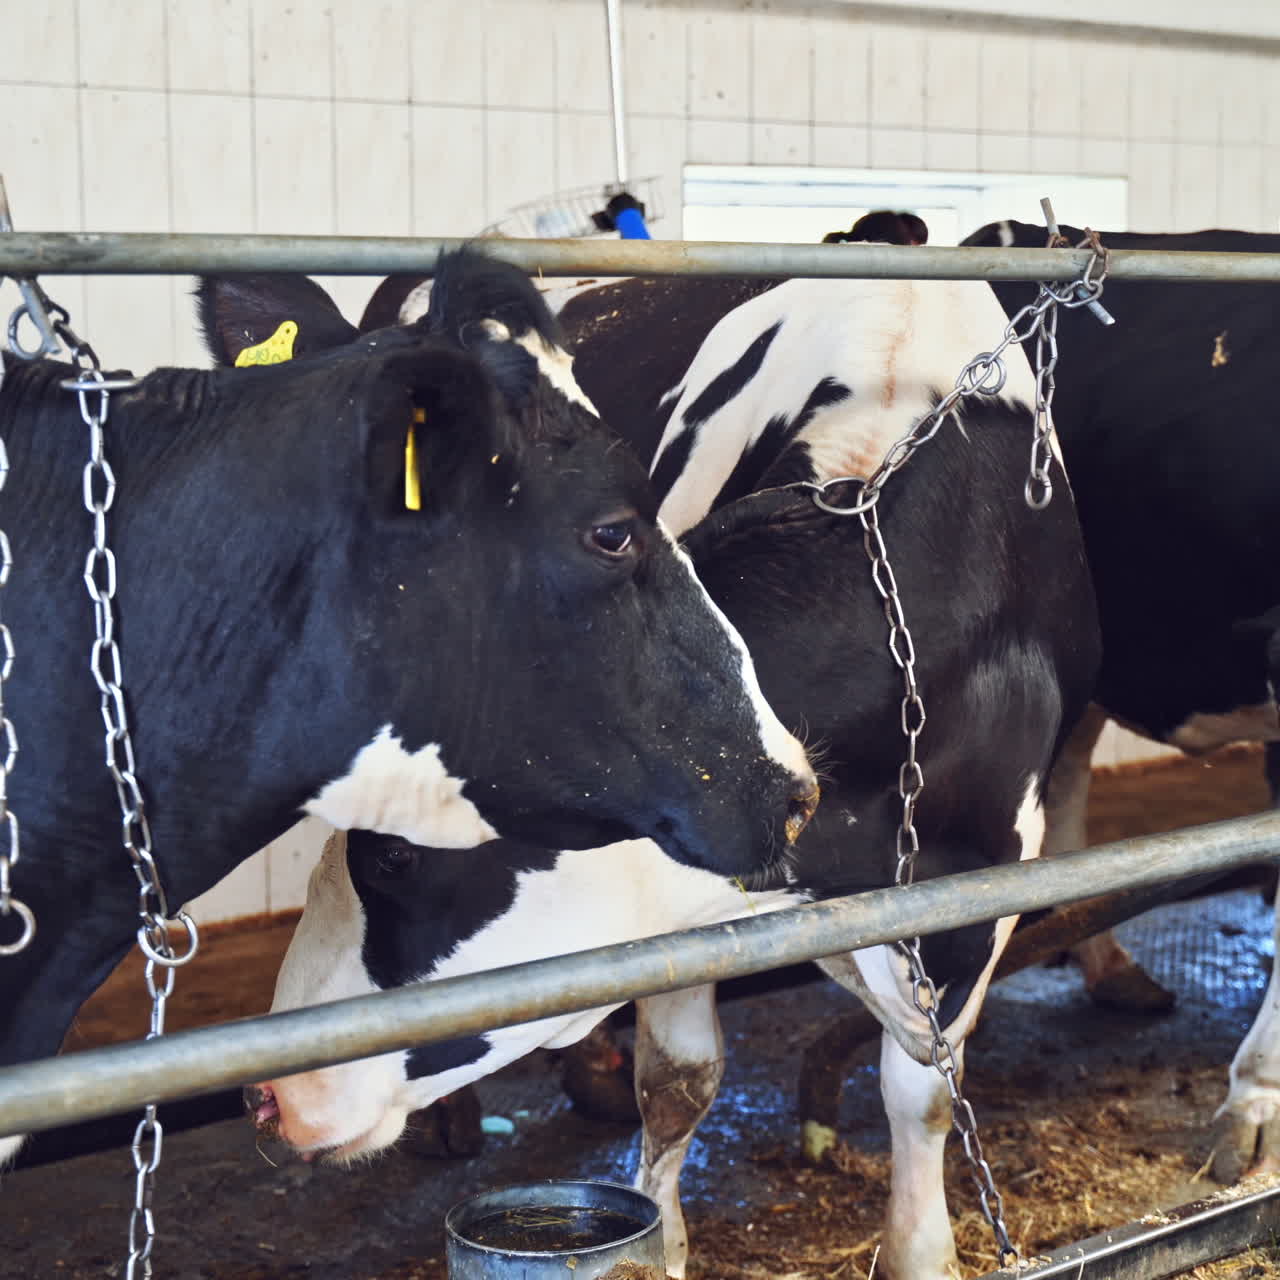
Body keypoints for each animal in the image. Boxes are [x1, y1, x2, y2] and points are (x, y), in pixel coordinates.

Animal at [246, 273, 1100, 1280]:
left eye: (394, 857)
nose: (263, 1097)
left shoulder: (981, 876)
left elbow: (925, 1087)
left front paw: (921, 1248)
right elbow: (682, 1081)